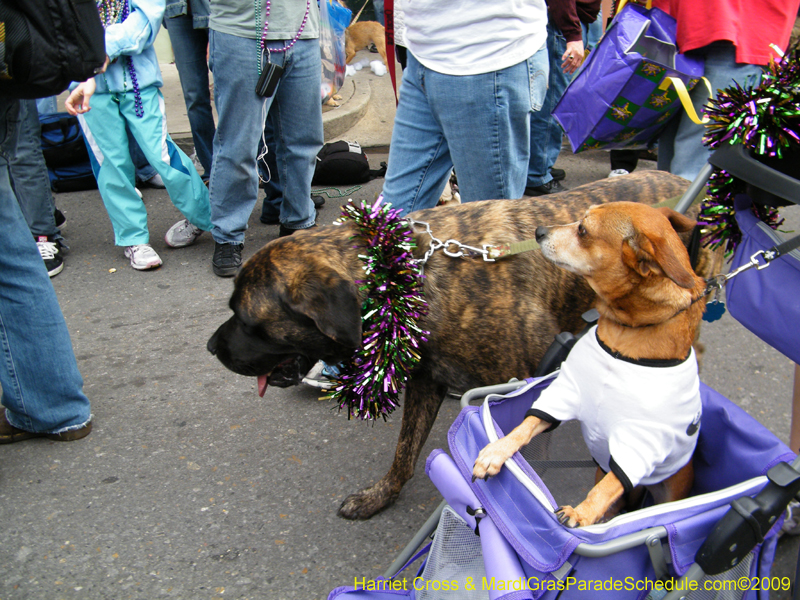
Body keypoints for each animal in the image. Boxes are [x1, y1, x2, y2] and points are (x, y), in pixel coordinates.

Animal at [208, 170, 712, 520]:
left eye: (249, 320)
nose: (212, 348)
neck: (407, 278)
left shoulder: (535, 382)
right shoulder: (426, 381)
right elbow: (404, 453)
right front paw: (379, 497)